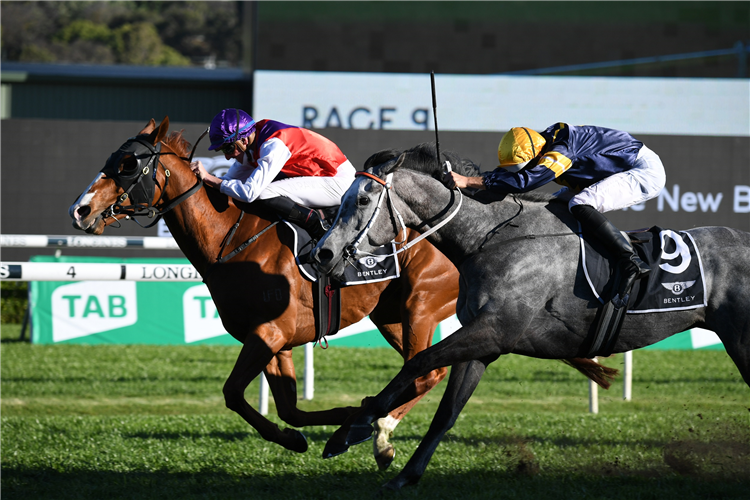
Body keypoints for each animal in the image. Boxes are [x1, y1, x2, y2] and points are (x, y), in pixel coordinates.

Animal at [312, 143, 750, 490]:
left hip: (741, 340)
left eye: (362, 200)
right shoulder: (482, 343)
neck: (491, 237)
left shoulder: (495, 330)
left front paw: (350, 431)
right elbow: (446, 414)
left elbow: (418, 363)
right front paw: (405, 473)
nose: (323, 253)